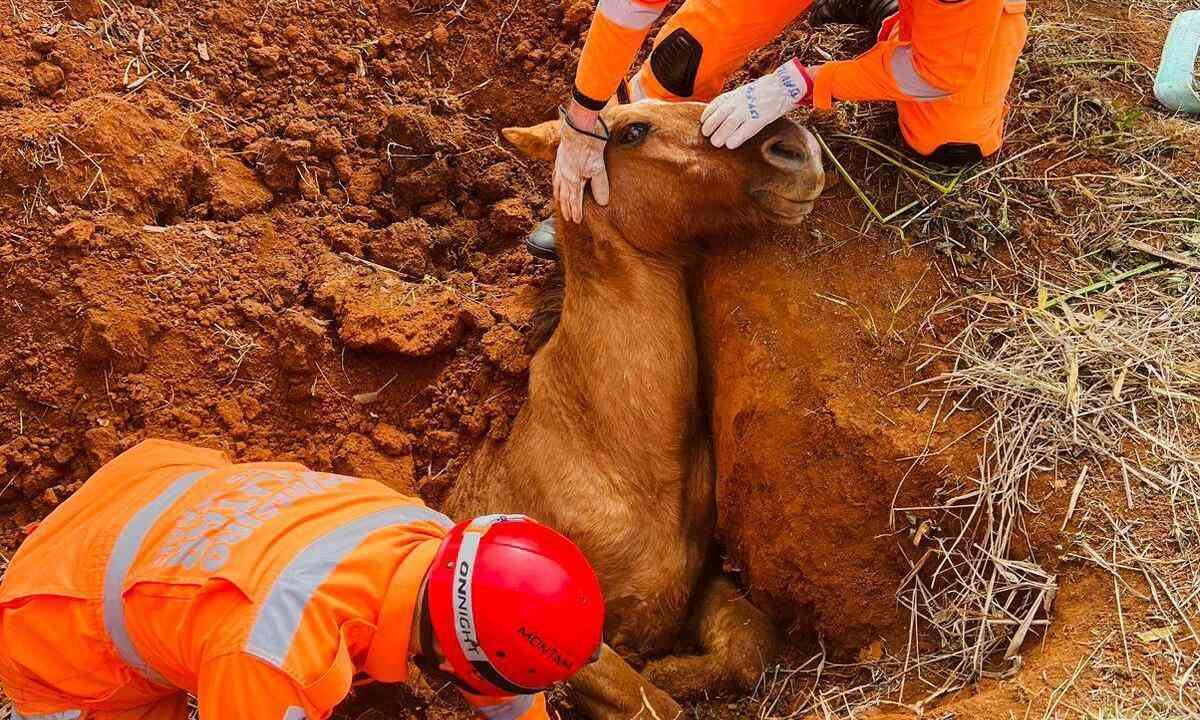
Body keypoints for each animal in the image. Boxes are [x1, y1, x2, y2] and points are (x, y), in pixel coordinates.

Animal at [448, 102, 825, 720]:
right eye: (633, 131)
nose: (798, 148)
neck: (612, 453)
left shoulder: (699, 580)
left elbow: (751, 641)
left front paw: (677, 670)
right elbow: (654, 704)